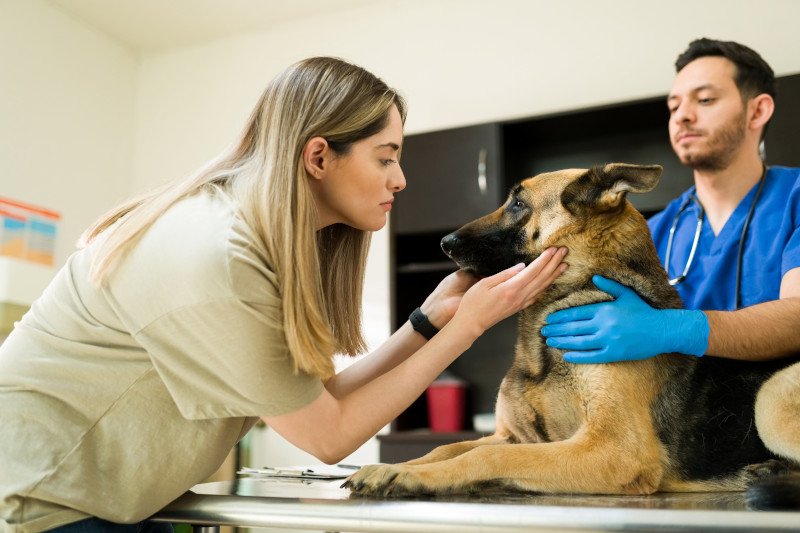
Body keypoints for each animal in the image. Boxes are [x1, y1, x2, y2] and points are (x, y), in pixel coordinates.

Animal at [344, 162, 800, 508]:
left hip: (770, 398)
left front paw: (407, 475)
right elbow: (449, 448)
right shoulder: (514, 434)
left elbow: (487, 454)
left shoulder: (613, 450)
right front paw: (396, 466)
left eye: (518, 203)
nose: (444, 242)